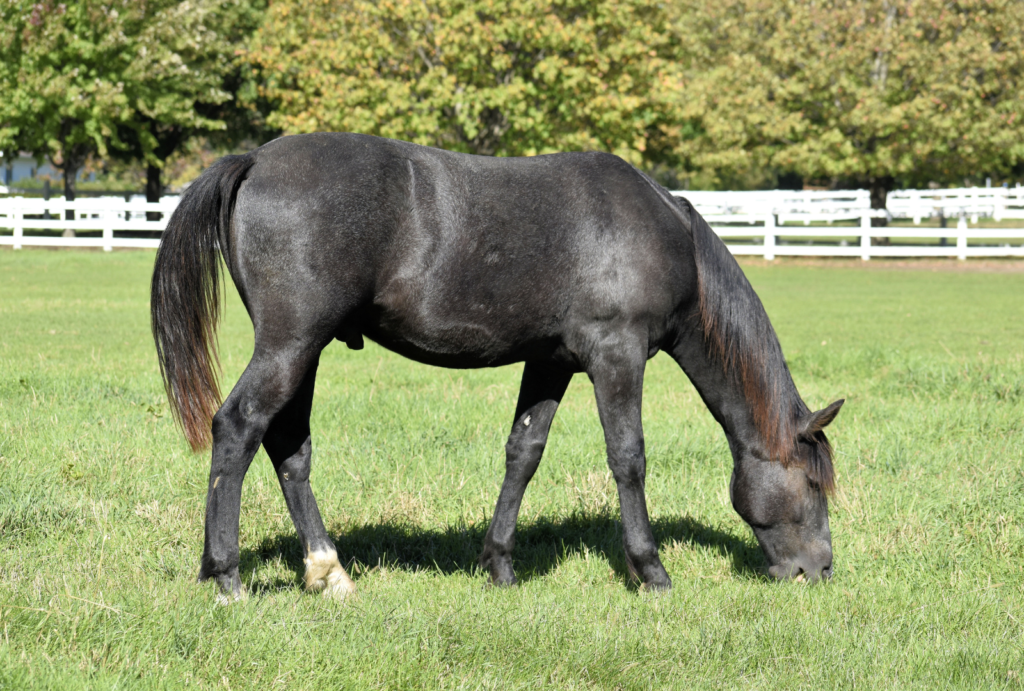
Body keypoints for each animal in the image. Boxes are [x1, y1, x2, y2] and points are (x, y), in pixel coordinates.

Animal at [151, 132, 844, 601]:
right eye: (813, 485)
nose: (820, 570)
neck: (663, 234)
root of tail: (256, 159)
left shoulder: (551, 362)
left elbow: (523, 454)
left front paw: (500, 565)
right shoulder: (616, 355)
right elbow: (628, 458)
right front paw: (651, 571)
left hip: (304, 349)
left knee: (289, 446)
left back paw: (328, 571)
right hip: (291, 344)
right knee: (238, 428)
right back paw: (228, 576)